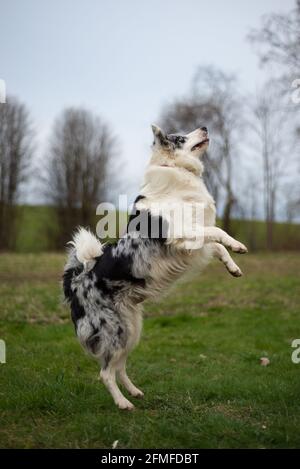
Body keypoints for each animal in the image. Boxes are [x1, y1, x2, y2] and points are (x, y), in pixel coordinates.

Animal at [62, 125, 247, 410]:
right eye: (181, 138)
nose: (204, 127)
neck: (177, 170)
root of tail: (76, 279)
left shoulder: (191, 243)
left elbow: (216, 246)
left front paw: (233, 266)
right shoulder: (181, 234)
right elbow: (218, 232)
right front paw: (237, 244)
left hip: (132, 328)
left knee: (119, 367)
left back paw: (134, 392)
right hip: (114, 329)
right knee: (105, 372)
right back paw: (123, 404)